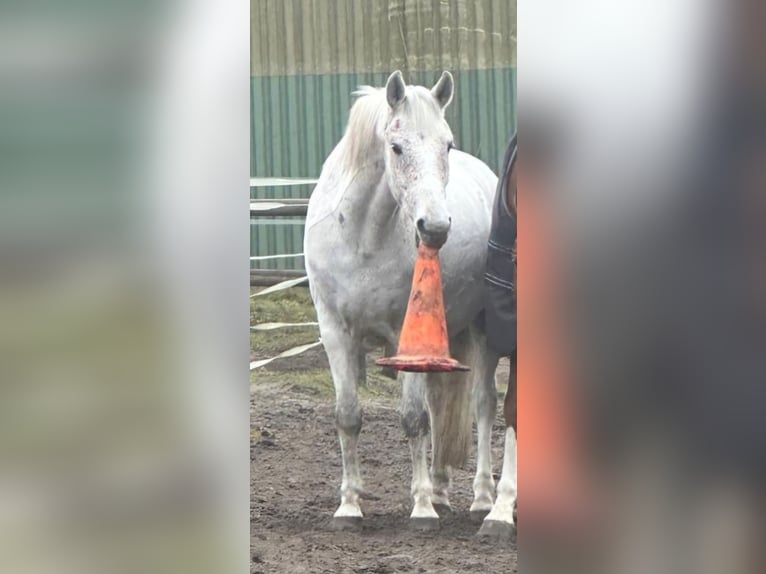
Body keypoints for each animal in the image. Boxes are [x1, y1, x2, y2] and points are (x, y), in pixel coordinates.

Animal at [304, 71, 516, 536]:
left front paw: (420, 509)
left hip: (482, 332)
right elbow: (348, 415)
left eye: (447, 145)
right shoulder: (334, 331)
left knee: (483, 404)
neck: (363, 238)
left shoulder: (406, 335)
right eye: (397, 147)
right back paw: (440, 491)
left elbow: (413, 418)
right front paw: (349, 505)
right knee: (441, 405)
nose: (435, 228)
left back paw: (482, 499)